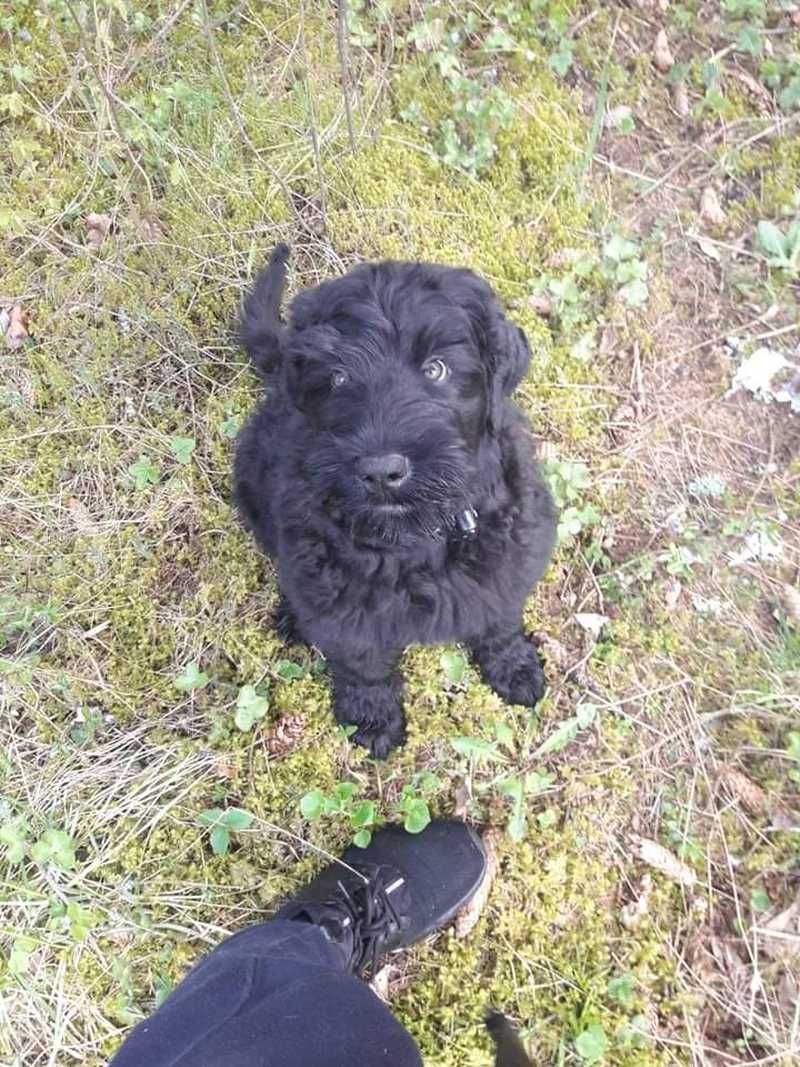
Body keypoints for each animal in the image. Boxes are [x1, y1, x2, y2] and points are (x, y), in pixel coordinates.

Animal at [234, 245, 556, 758]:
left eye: (436, 369)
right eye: (338, 378)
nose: (381, 471)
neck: (418, 535)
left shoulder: (510, 555)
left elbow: (500, 619)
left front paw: (516, 667)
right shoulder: (343, 600)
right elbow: (363, 663)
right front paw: (372, 721)